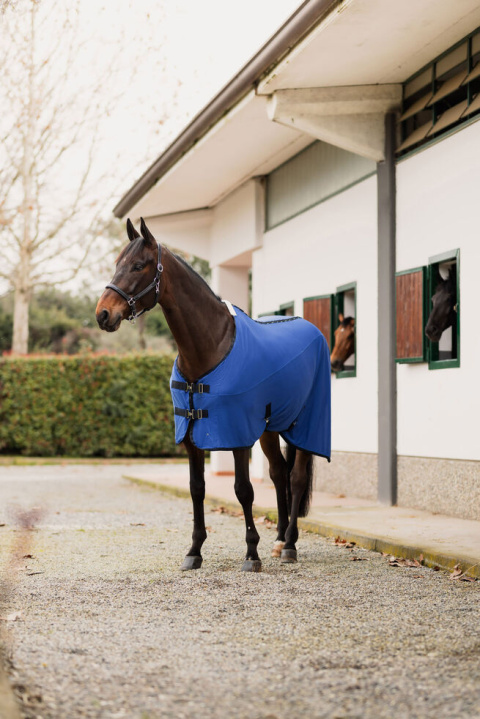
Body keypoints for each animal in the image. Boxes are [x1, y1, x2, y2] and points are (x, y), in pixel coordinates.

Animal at [97, 219, 330, 572]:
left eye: (138, 265)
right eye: (116, 264)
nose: (103, 315)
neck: (210, 346)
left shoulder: (237, 434)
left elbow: (243, 490)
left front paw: (251, 554)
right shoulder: (192, 434)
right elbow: (197, 489)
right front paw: (194, 551)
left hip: (304, 426)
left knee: (297, 478)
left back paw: (289, 545)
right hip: (270, 428)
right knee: (278, 474)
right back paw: (278, 541)